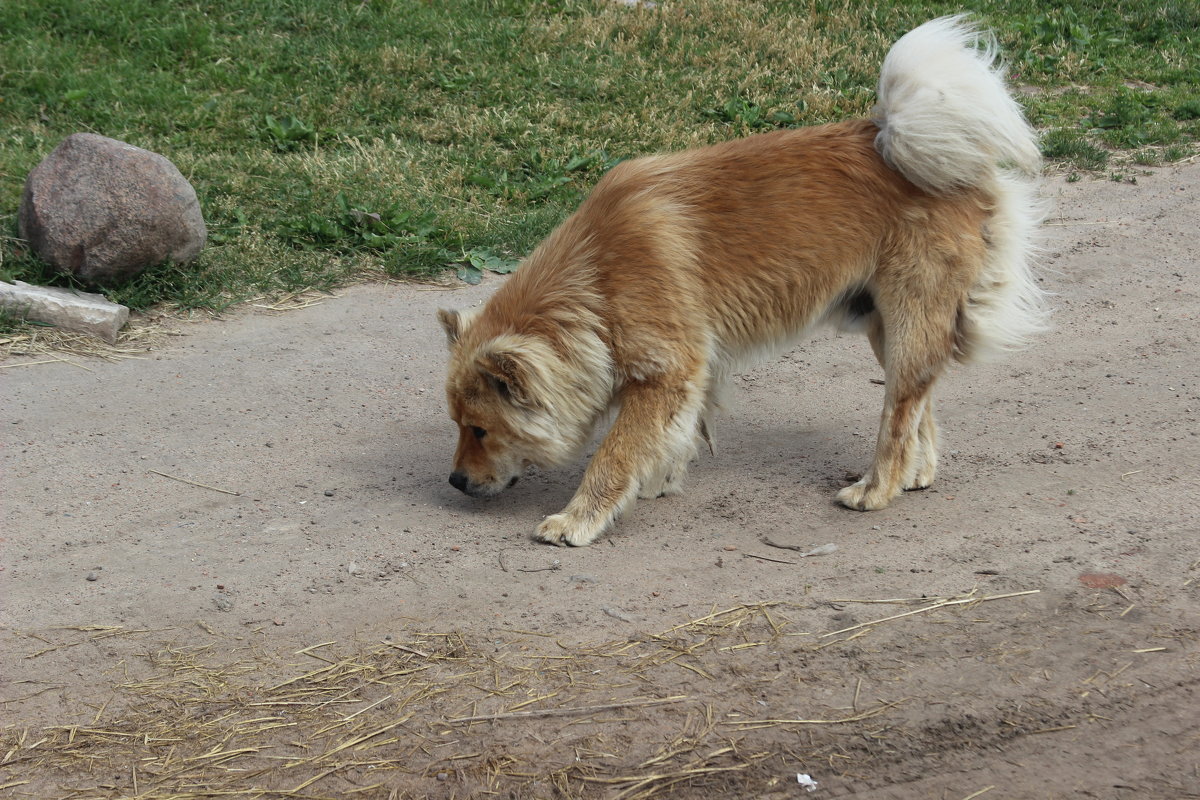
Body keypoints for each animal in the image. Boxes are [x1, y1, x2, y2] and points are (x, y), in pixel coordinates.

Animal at [436, 15, 1046, 546]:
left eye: (480, 430)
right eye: (459, 425)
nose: (456, 482)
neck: (592, 283)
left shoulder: (663, 375)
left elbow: (613, 454)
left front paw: (578, 519)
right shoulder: (688, 374)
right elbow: (674, 436)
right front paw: (656, 481)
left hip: (908, 318)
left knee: (897, 414)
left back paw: (877, 489)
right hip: (886, 326)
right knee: (919, 401)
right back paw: (918, 471)